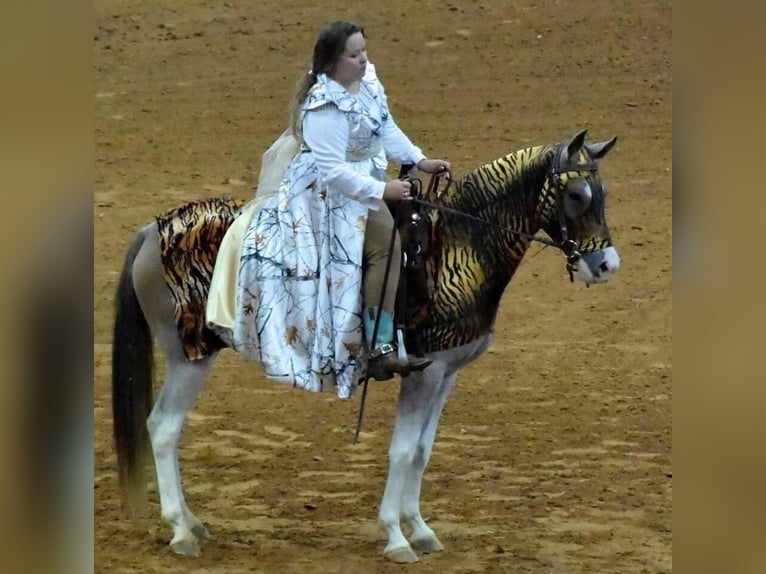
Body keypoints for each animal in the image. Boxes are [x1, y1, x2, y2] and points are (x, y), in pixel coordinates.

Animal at [111, 128, 620, 564]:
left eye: (603, 194)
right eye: (576, 195)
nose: (605, 265)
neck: (457, 247)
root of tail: (152, 231)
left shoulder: (447, 374)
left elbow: (423, 450)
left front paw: (420, 528)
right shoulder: (425, 371)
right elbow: (402, 451)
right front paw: (396, 536)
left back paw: (193, 523)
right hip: (187, 358)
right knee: (163, 428)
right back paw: (180, 530)